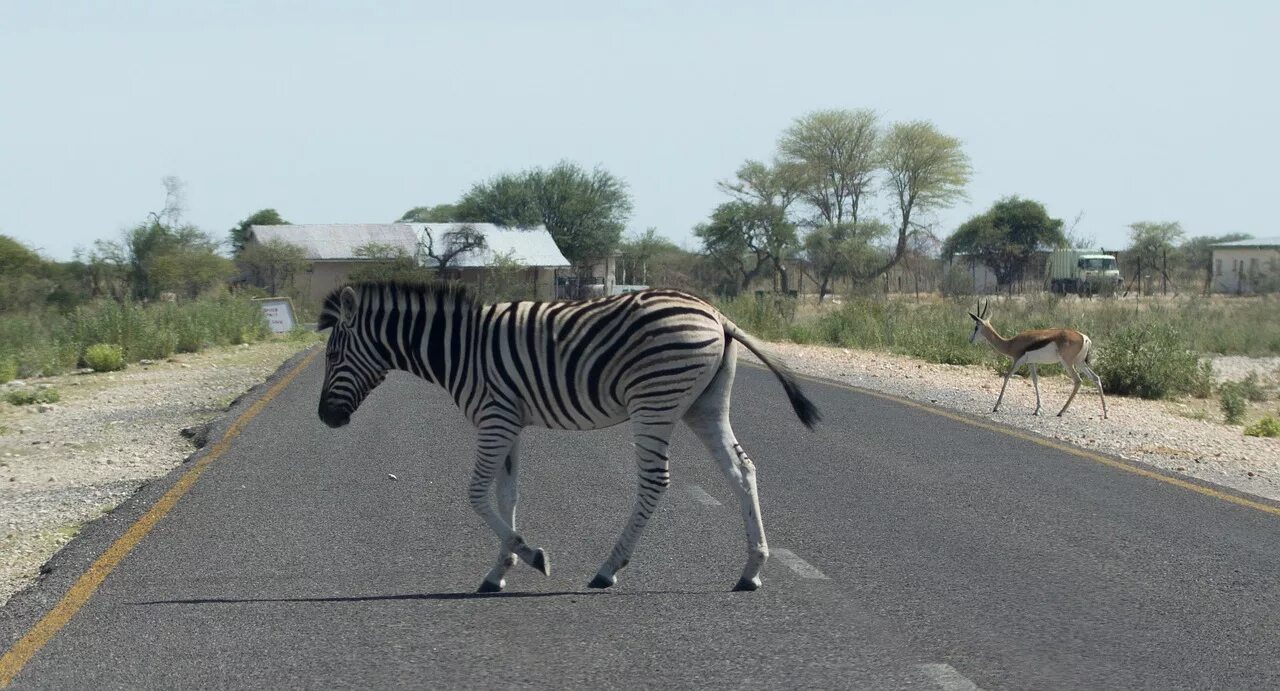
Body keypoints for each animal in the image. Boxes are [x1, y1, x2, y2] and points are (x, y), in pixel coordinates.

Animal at [318, 280, 819, 593]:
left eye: (333, 355)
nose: (325, 418)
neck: (459, 349)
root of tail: (717, 315)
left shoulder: (494, 418)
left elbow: (477, 493)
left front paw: (531, 555)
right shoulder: (508, 422)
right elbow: (507, 495)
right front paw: (500, 570)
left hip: (654, 402)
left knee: (656, 483)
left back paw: (608, 569)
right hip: (705, 405)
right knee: (742, 470)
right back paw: (751, 570)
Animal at [962, 299, 1105, 417]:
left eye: (976, 327)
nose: (970, 340)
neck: (1010, 343)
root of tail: (1084, 337)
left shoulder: (1017, 360)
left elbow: (1007, 376)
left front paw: (996, 407)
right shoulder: (1031, 363)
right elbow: (1035, 381)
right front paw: (1037, 410)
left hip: (1068, 362)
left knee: (1078, 381)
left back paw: (1061, 411)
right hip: (1080, 362)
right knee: (1096, 378)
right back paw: (1105, 413)